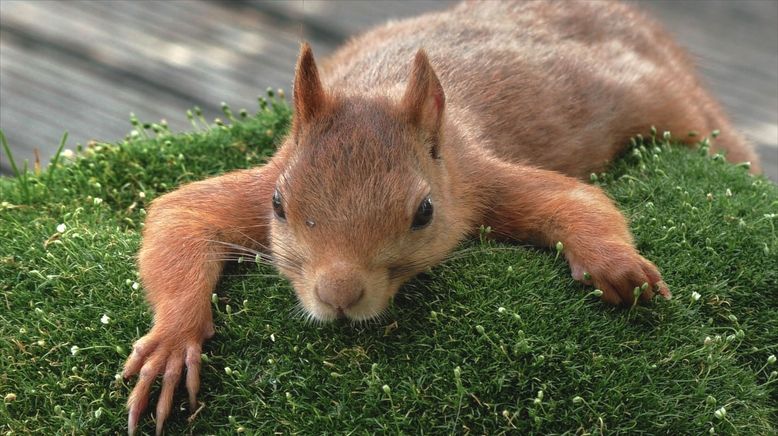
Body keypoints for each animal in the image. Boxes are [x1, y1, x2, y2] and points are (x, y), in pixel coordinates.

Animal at [119, 1, 756, 434]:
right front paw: (173, 341)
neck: (377, 88)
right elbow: (182, 215)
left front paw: (616, 265)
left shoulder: (476, 179)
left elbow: (578, 202)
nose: (338, 295)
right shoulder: (259, 182)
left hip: (673, 108)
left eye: (425, 211)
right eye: (279, 204)